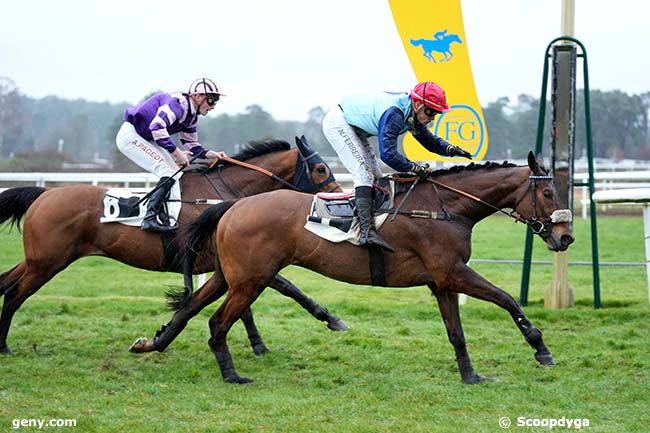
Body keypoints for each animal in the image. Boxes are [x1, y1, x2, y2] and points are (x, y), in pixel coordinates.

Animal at [0, 138, 344, 354]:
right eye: (321, 169)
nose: (338, 198)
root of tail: (45, 193)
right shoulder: (235, 260)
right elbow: (283, 287)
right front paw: (327, 318)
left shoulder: (231, 262)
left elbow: (253, 301)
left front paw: (258, 343)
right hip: (48, 262)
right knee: (16, 294)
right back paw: (4, 346)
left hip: (37, 259)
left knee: (5, 283)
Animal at [178, 151, 572, 382]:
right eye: (549, 192)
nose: (566, 237)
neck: (445, 208)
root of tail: (232, 205)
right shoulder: (453, 272)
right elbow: (507, 298)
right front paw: (541, 349)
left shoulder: (442, 281)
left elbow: (456, 332)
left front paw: (470, 376)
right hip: (250, 280)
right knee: (218, 322)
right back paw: (231, 374)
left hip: (233, 276)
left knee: (195, 308)